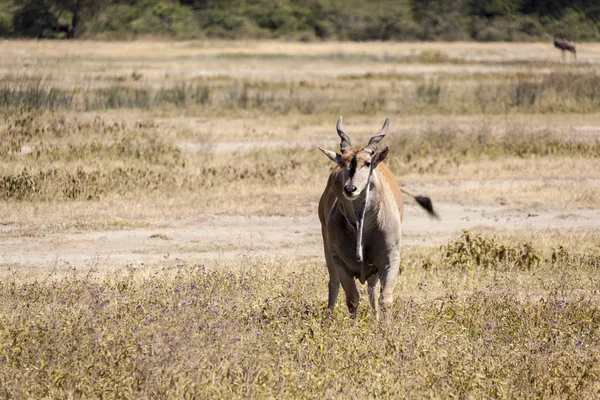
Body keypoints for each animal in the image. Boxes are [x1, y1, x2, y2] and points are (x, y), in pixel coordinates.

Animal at [316, 117, 438, 318]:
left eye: (367, 163)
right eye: (343, 163)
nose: (350, 189)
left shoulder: (390, 259)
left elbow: (384, 298)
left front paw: (383, 325)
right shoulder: (340, 263)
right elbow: (352, 299)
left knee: (372, 291)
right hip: (328, 250)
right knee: (333, 284)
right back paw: (328, 318)